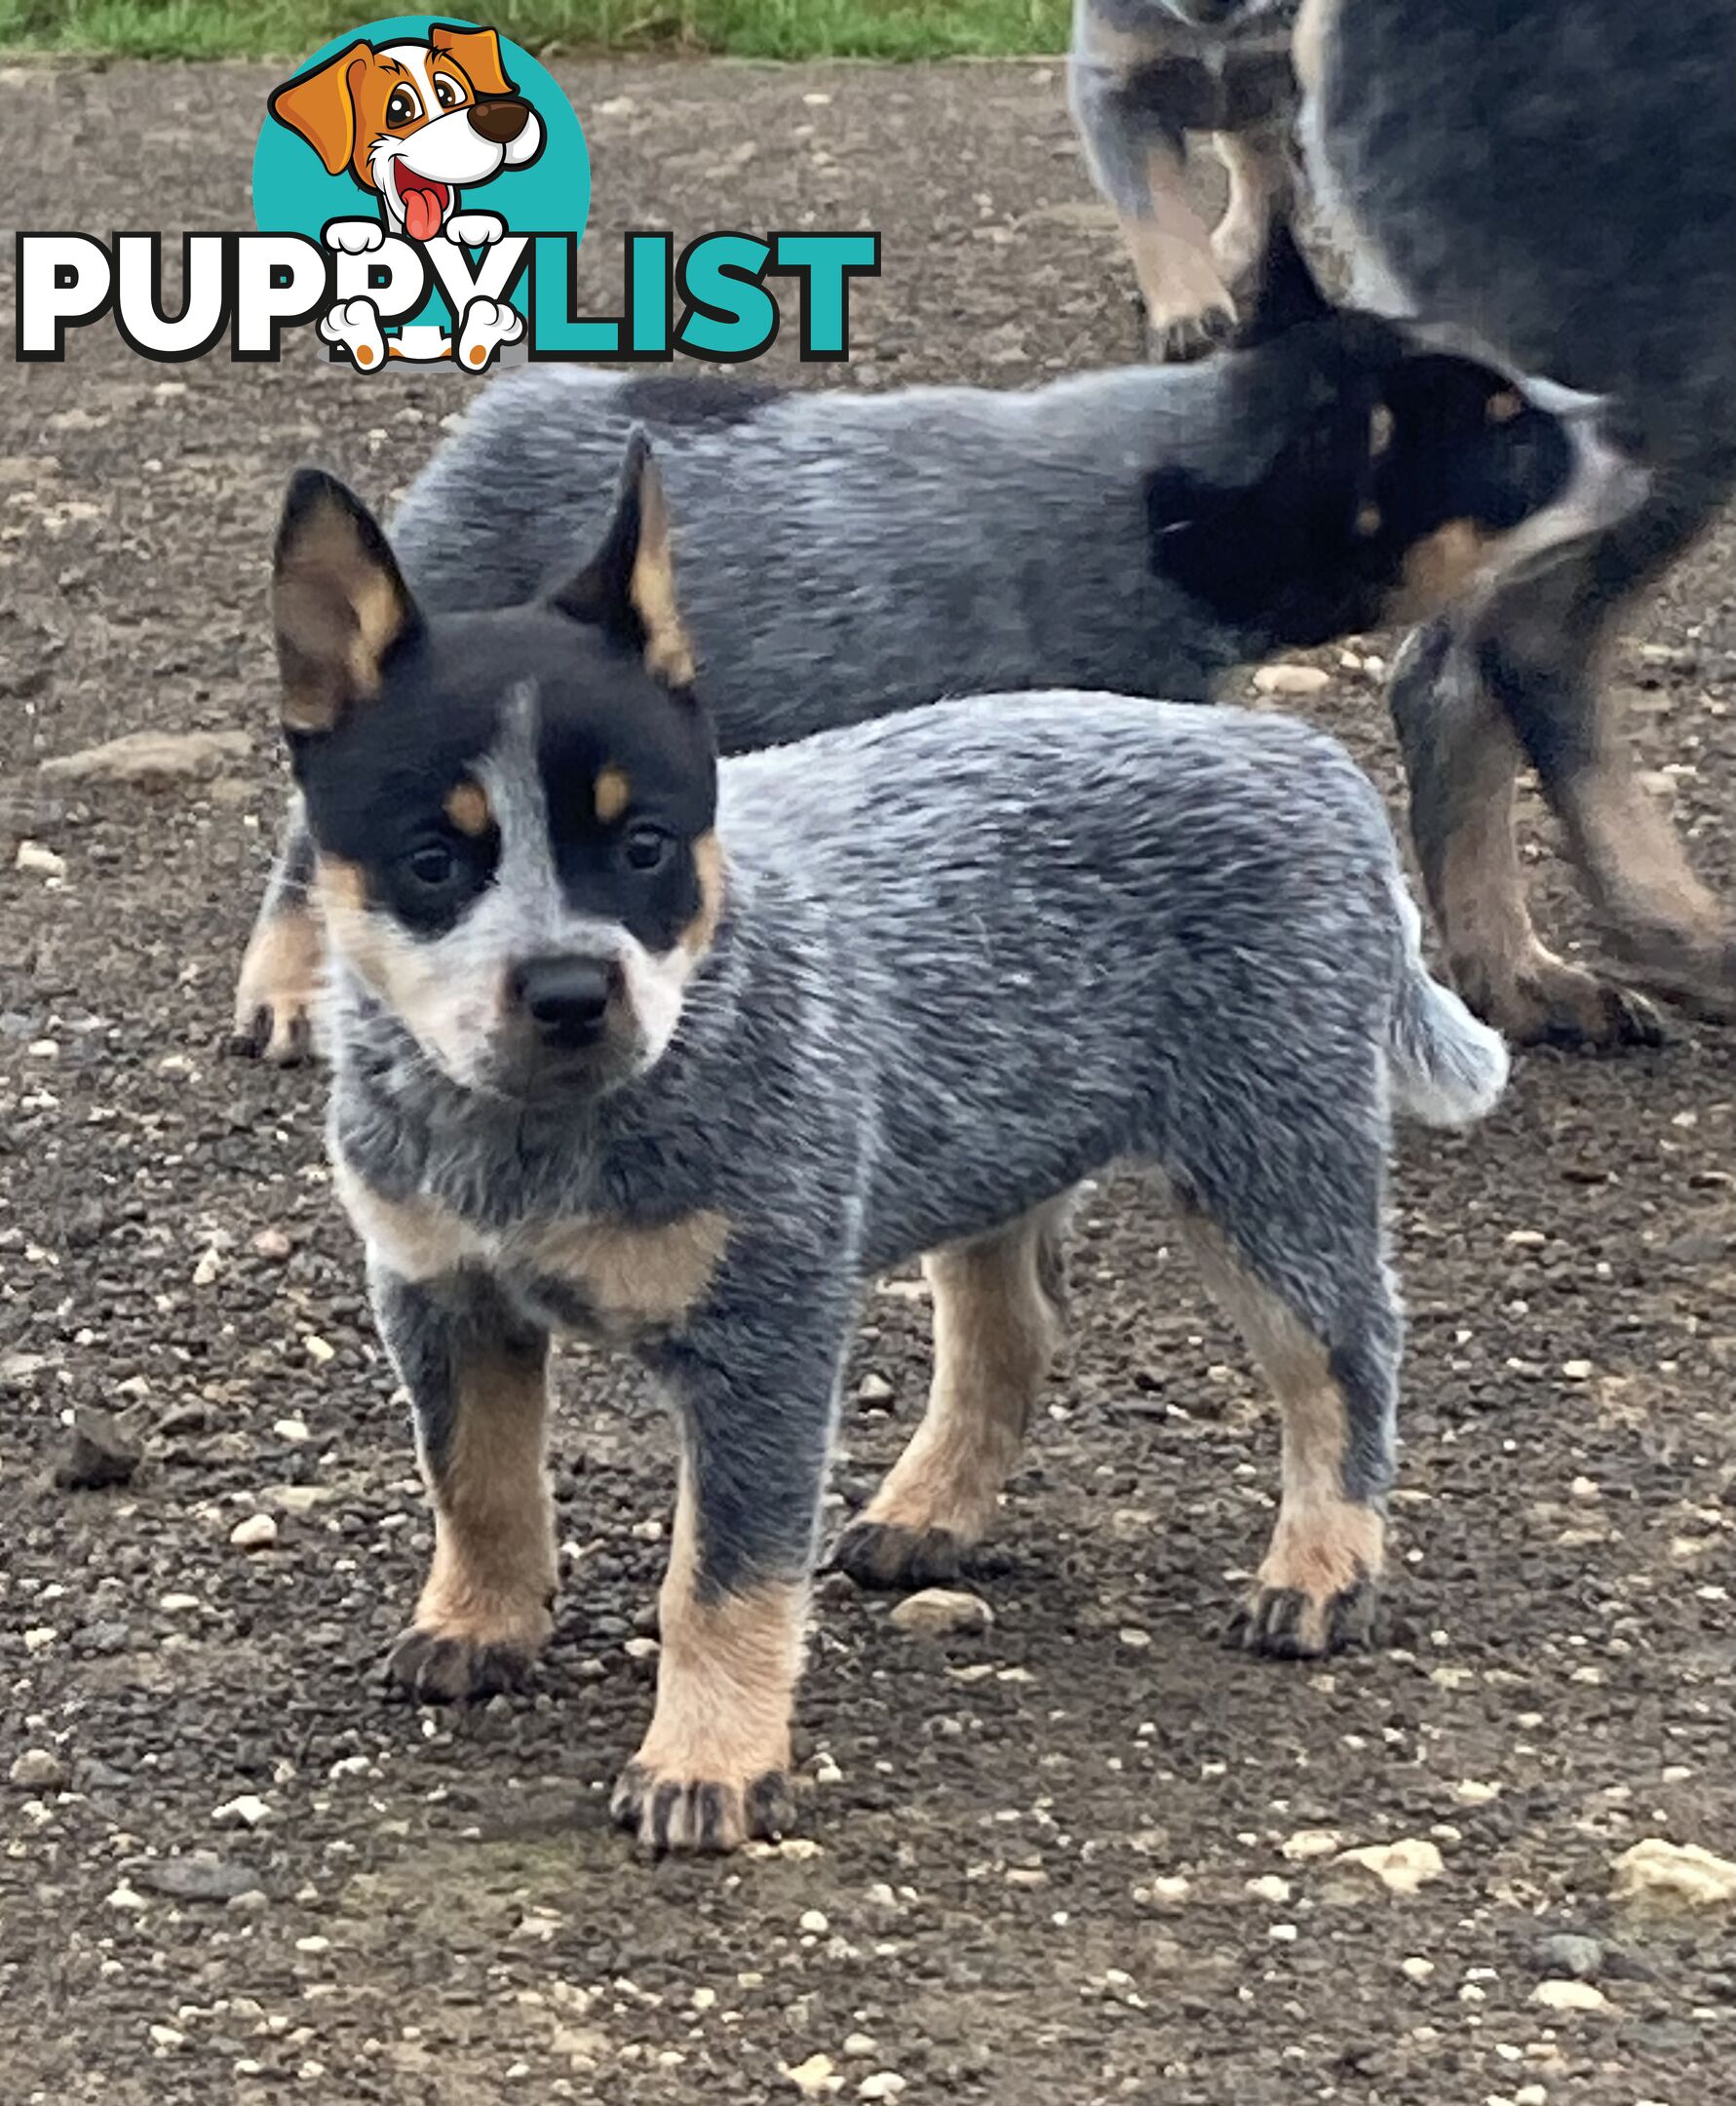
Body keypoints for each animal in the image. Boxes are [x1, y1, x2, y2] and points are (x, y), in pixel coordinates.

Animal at [233, 244, 1640, 1061]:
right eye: (1504, 443)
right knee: (309, 852)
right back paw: (287, 997)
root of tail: (500, 406)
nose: (1632, 419)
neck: (1165, 500)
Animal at [271, 436, 1506, 1852]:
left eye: (644, 844)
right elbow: (472, 1481)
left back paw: (1318, 1571)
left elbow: (721, 1577)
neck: (534, 1136)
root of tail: (1304, 757)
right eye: (432, 860)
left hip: (1268, 1154)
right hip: (997, 1142)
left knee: (1341, 1358)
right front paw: (478, 1623)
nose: (574, 994)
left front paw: (706, 1763)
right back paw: (930, 1513)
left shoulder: (765, 1331)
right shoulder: (435, 1291)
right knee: (1009, 1336)